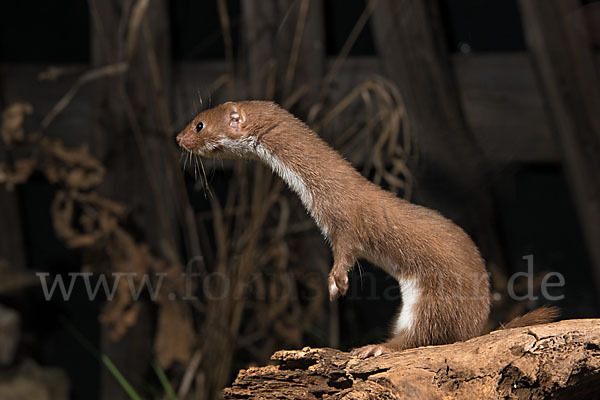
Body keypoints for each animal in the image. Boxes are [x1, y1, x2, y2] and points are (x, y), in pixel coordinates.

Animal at [177, 101, 544, 358]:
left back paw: (376, 347)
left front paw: (336, 283)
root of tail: (477, 323)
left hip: (437, 297)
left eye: (198, 124)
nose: (178, 138)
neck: (316, 192)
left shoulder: (345, 221)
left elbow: (346, 252)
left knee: (422, 334)